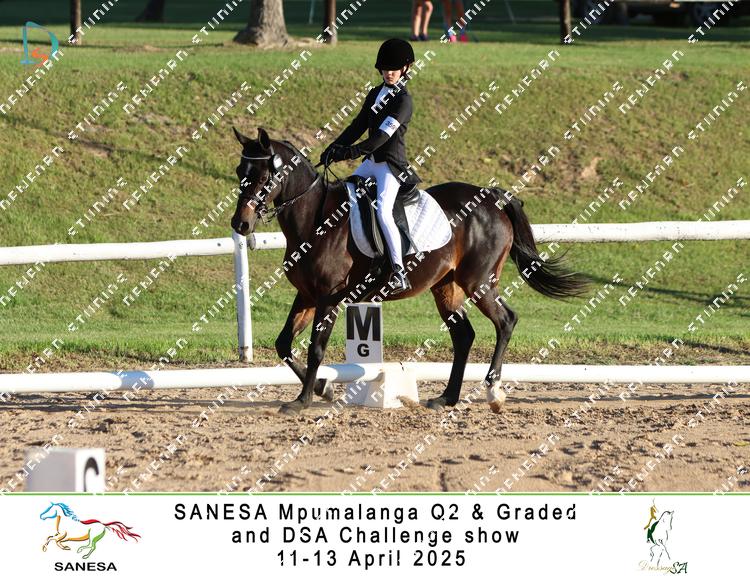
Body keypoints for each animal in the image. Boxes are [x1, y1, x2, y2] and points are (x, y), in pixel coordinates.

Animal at [230, 127, 590, 415]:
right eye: (239, 171)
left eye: (263, 176)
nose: (240, 224)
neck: (316, 220)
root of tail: (494, 198)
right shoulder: (307, 295)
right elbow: (283, 343)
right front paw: (324, 388)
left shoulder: (329, 298)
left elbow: (316, 349)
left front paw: (303, 400)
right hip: (446, 286)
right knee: (464, 336)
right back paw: (446, 398)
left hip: (478, 282)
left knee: (505, 321)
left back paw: (494, 393)